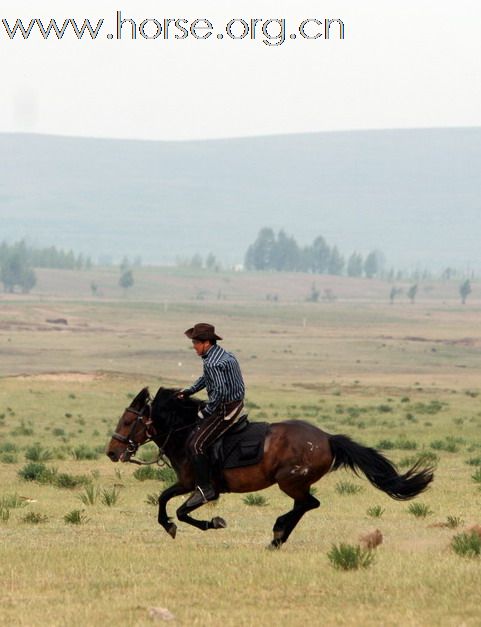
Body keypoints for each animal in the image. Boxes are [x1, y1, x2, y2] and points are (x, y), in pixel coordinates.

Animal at [106, 386, 436, 548]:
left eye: (128, 420)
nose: (112, 451)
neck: (185, 433)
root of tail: (328, 438)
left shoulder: (203, 488)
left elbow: (183, 511)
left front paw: (214, 523)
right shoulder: (187, 483)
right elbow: (164, 502)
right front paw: (170, 527)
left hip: (290, 481)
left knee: (308, 504)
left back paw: (278, 533)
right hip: (294, 482)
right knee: (307, 505)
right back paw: (278, 536)